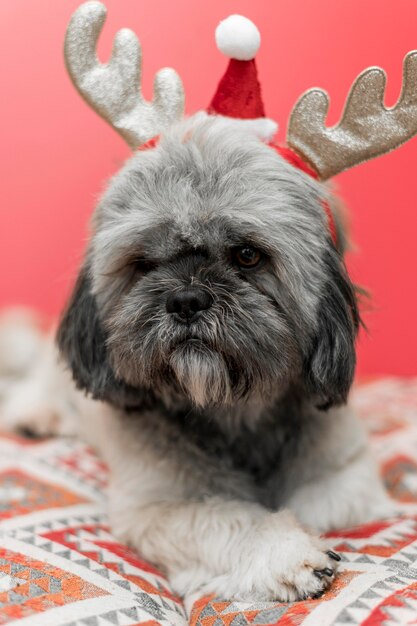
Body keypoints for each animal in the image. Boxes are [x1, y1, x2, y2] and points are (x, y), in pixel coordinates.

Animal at [0, 112, 390, 600]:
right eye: (143, 263)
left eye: (247, 255)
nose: (186, 299)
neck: (234, 415)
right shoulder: (158, 508)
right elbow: (227, 518)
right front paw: (284, 551)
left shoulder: (349, 476)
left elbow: (324, 505)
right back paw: (37, 413)